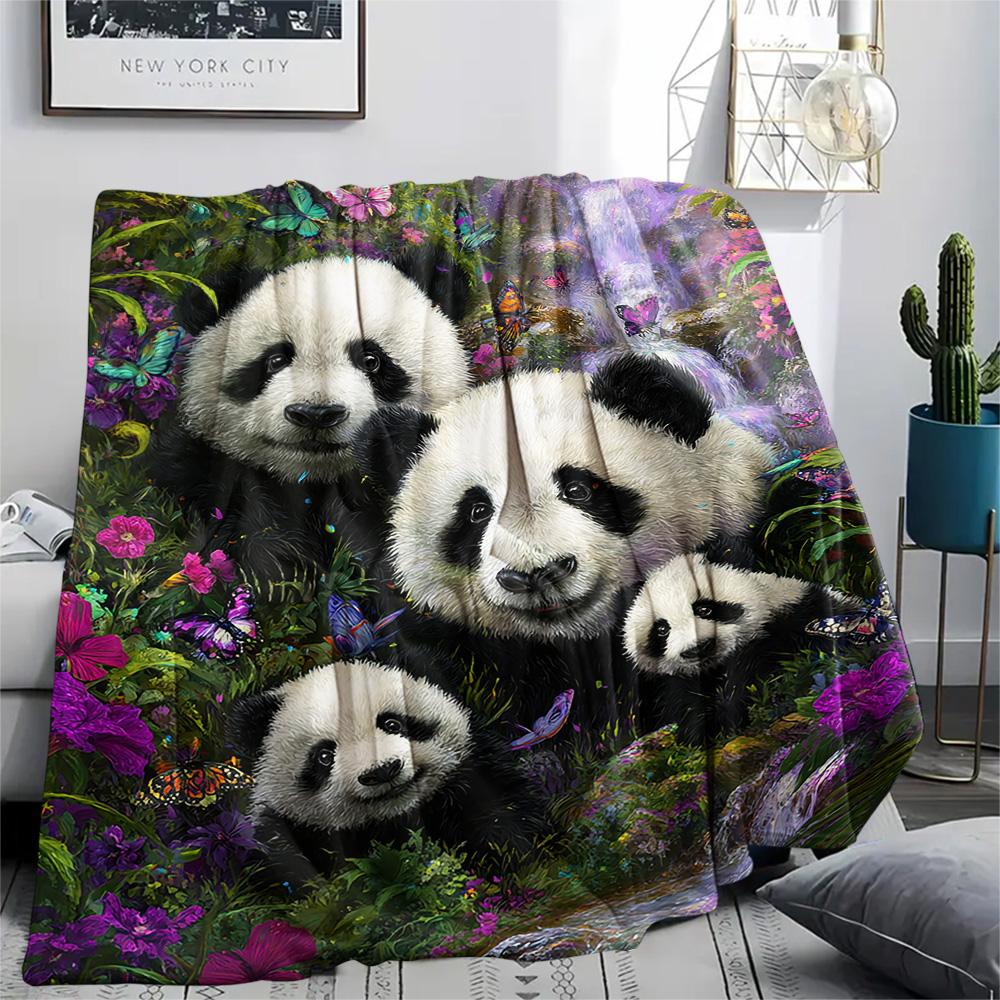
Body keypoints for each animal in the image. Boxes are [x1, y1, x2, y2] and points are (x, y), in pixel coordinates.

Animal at [229, 660, 545, 889]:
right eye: (324, 755)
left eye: (392, 723)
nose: (382, 771)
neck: (393, 820)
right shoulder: (289, 832)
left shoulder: (473, 773)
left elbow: (500, 818)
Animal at [623, 551, 861, 742]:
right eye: (662, 629)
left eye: (704, 609)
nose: (698, 647)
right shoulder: (678, 679)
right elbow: (685, 700)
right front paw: (700, 727)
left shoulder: (794, 621)